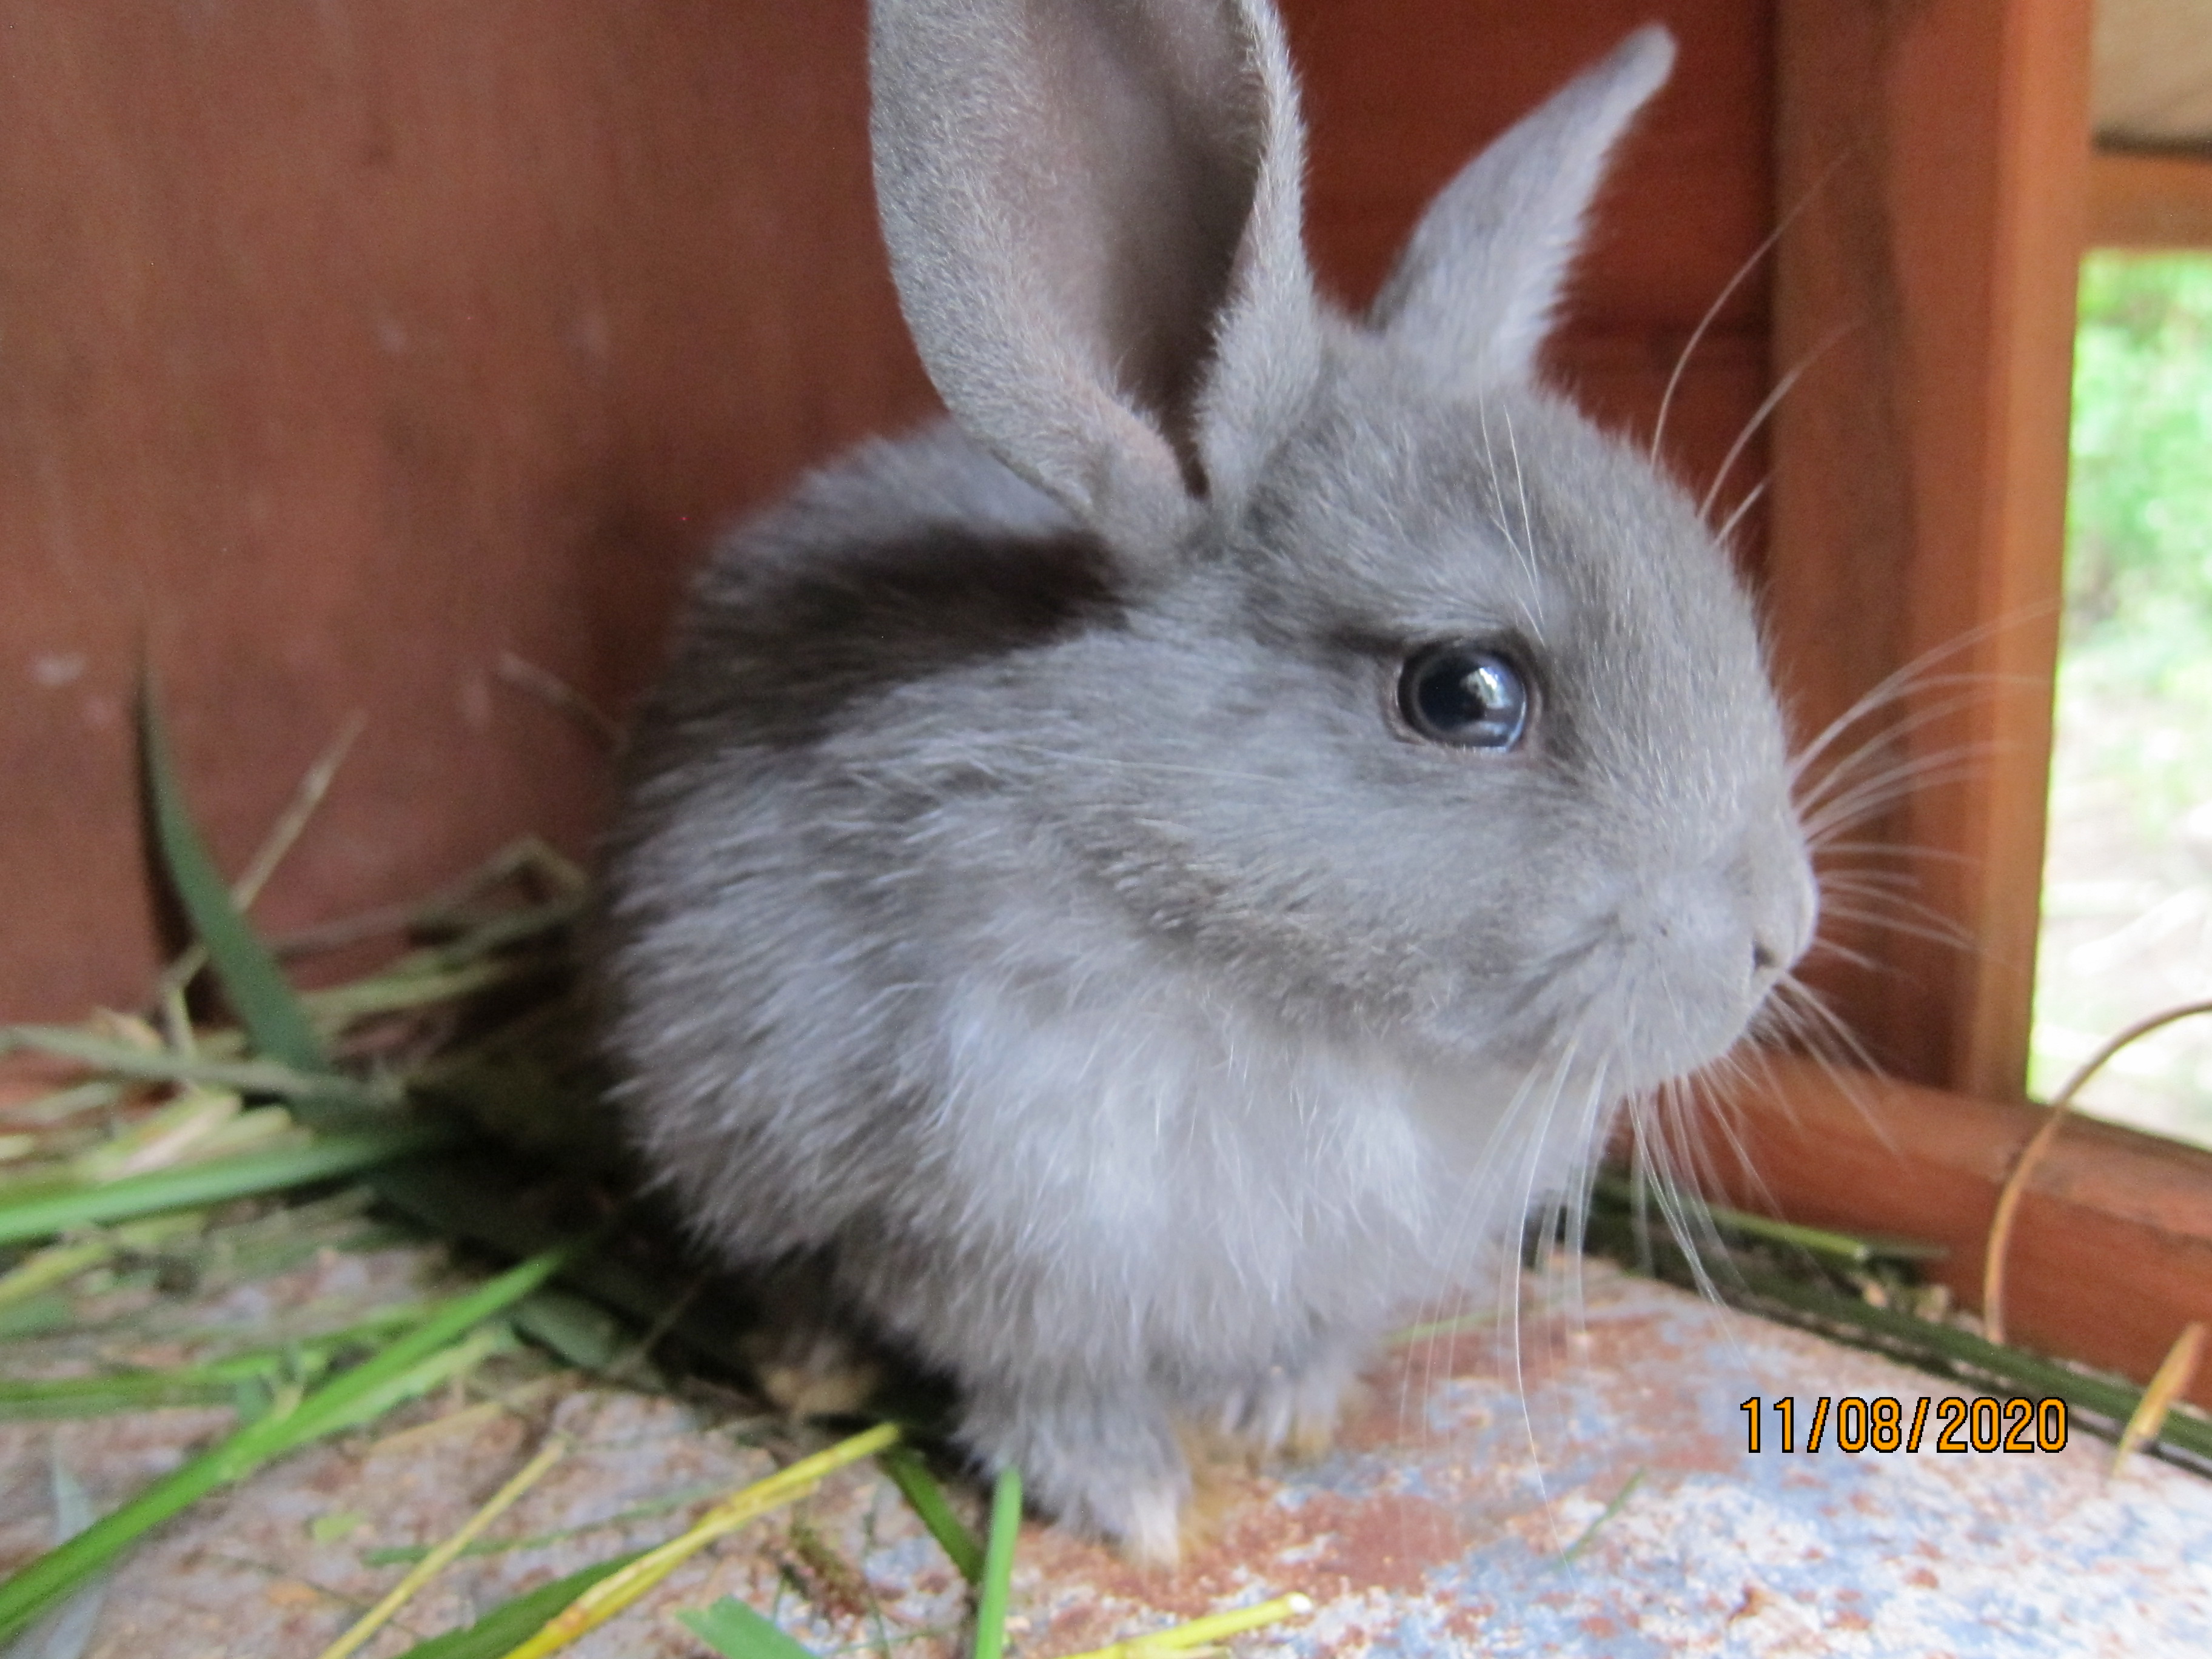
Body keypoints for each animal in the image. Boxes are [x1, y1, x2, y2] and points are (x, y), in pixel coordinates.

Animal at [592, 0, 1814, 1566]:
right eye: (1465, 693)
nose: (1781, 934)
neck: (1269, 970)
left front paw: (1278, 1410)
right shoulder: (983, 1232)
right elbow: (1036, 1381)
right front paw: (1137, 1500)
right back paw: (809, 1364)